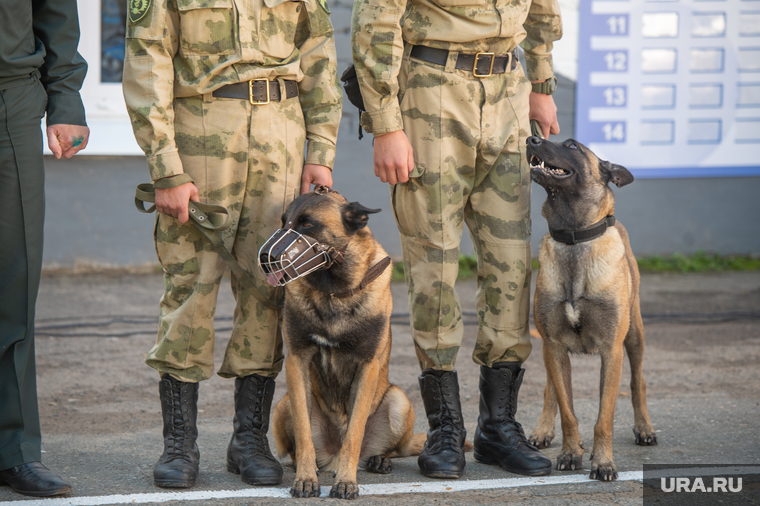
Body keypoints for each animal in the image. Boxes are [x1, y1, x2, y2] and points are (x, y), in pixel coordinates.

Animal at [260, 186, 428, 498]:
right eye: (284, 222)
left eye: (307, 223)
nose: (267, 256)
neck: (333, 292)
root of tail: (332, 455)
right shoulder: (297, 362)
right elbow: (303, 434)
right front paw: (305, 478)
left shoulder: (367, 367)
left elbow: (354, 433)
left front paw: (347, 481)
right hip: (284, 404)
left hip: (398, 402)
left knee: (389, 449)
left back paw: (378, 460)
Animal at [524, 137, 656, 482]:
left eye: (571, 145)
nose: (532, 138)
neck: (574, 239)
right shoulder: (555, 347)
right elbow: (567, 410)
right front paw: (571, 453)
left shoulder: (612, 351)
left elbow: (604, 416)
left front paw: (603, 462)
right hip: (547, 349)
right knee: (550, 389)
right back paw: (543, 430)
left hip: (635, 336)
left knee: (638, 382)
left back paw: (644, 428)